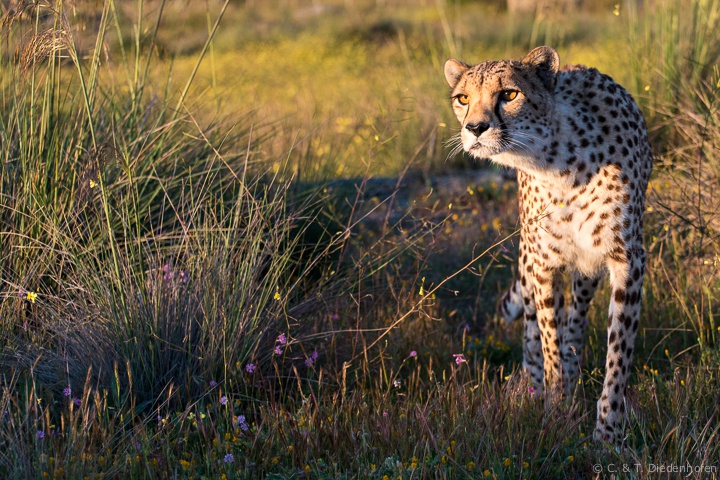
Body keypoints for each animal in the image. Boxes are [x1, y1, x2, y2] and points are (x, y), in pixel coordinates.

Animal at [444, 47, 652, 444]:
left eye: (509, 94)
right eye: (463, 99)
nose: (475, 128)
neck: (560, 160)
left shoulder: (626, 259)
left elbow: (618, 351)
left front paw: (608, 432)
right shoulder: (543, 261)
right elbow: (547, 338)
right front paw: (556, 409)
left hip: (587, 267)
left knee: (578, 317)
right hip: (530, 257)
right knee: (530, 326)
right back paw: (532, 385)